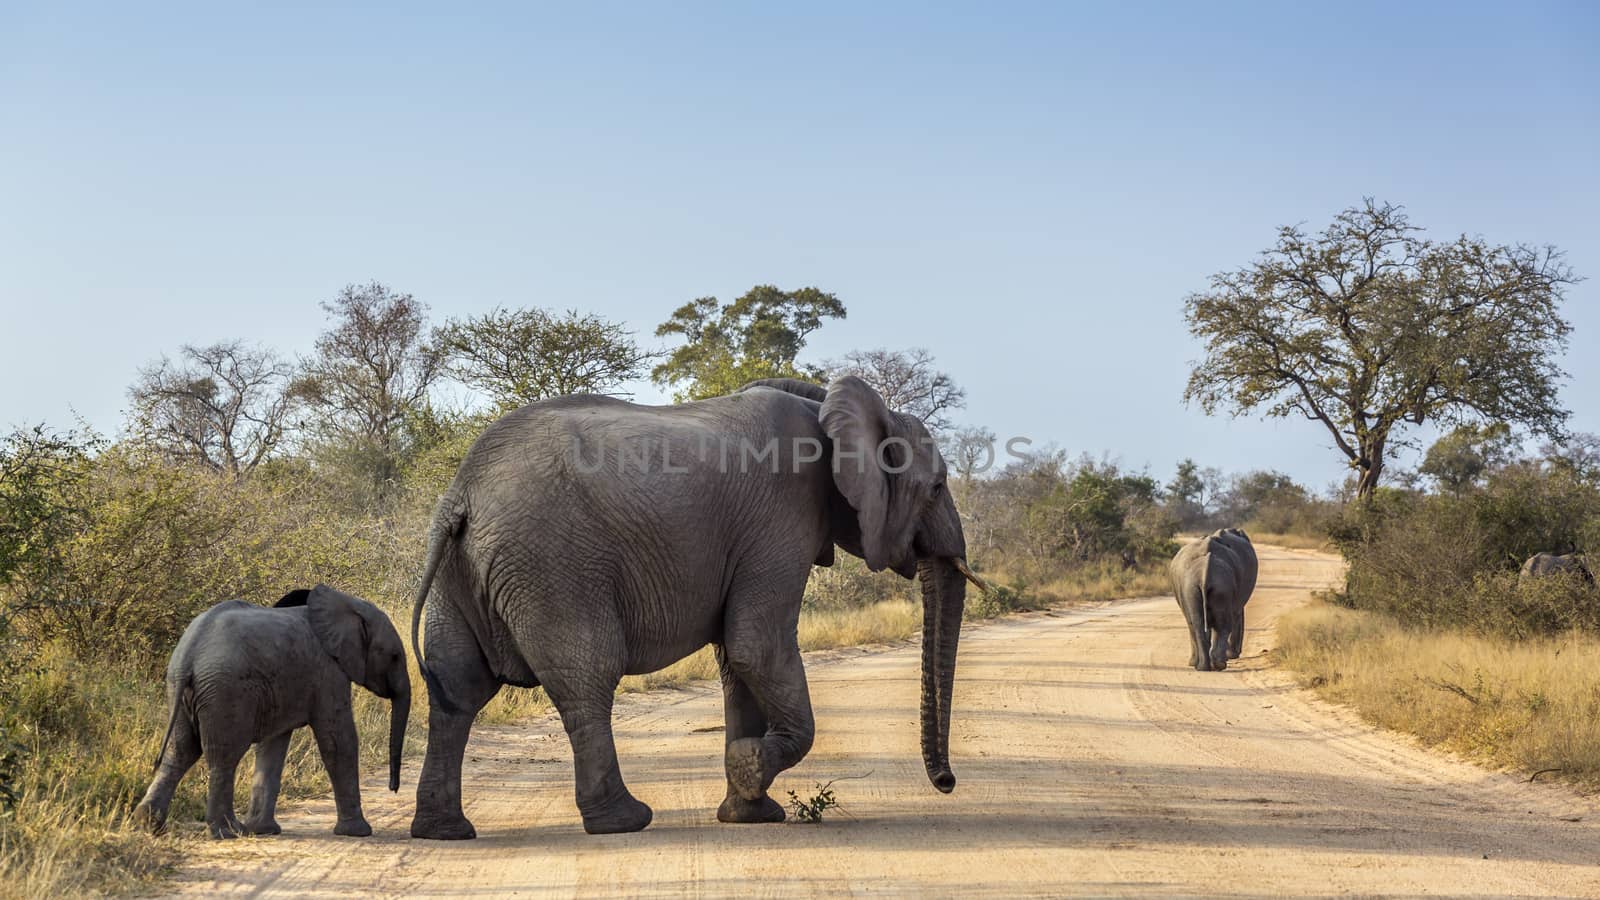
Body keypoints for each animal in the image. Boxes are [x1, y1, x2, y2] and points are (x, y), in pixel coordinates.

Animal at [132, 586, 412, 839]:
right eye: (395, 656)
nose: (393, 788)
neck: (348, 604)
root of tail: (189, 652)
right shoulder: (327, 673)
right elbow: (337, 741)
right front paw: (358, 832)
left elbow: (273, 746)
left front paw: (264, 831)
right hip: (227, 690)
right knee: (223, 756)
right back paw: (228, 832)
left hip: (184, 691)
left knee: (179, 752)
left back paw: (151, 826)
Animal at [406, 374, 972, 839]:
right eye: (937, 486)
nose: (946, 782)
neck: (826, 406)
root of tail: (461, 493)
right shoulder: (780, 520)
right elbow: (756, 646)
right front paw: (749, 769)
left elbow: (738, 662)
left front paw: (750, 812)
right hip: (552, 565)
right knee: (587, 678)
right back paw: (625, 821)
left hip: (464, 570)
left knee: (456, 688)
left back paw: (445, 831)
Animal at [1171, 528, 1254, 669]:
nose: (1238, 652)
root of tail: (1205, 570)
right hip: (1214, 586)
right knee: (1217, 623)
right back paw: (1216, 665)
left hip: (1206, 587)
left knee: (1200, 624)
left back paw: (1206, 667)